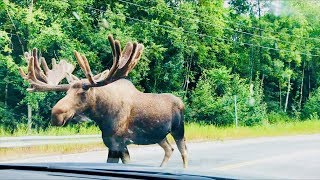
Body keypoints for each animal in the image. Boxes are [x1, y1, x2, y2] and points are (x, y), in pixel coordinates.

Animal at [19, 34, 188, 167]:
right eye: (66, 91)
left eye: (83, 91)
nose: (56, 114)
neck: (103, 117)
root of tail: (182, 103)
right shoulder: (110, 142)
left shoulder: (119, 143)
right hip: (159, 135)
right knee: (169, 149)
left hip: (178, 129)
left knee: (184, 152)